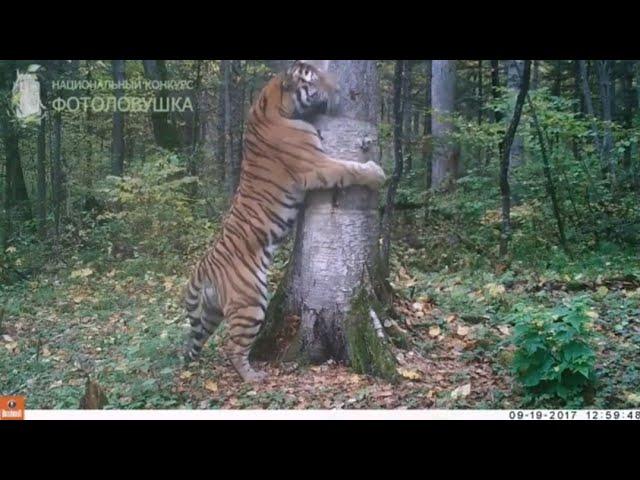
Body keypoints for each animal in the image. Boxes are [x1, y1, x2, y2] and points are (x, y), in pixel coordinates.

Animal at [182, 60, 388, 382]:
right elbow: (350, 168)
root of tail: (202, 268)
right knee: (233, 348)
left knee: (198, 340)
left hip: (210, 314)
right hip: (252, 302)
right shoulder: (316, 165)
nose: (338, 88)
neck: (272, 104)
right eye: (315, 80)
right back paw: (253, 377)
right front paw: (376, 173)